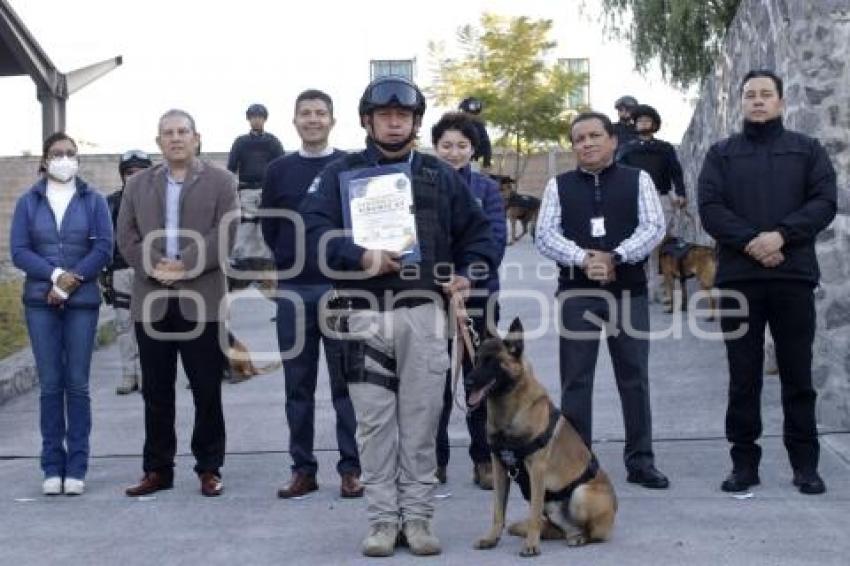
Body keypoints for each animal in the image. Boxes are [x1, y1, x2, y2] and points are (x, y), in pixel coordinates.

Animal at [468, 320, 612, 560]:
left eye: (492, 362)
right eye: (477, 359)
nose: (467, 382)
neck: (509, 409)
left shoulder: (536, 469)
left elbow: (534, 512)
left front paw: (531, 545)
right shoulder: (499, 467)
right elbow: (498, 510)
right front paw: (492, 538)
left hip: (581, 494)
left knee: (591, 533)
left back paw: (579, 538)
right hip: (553, 508)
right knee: (560, 529)